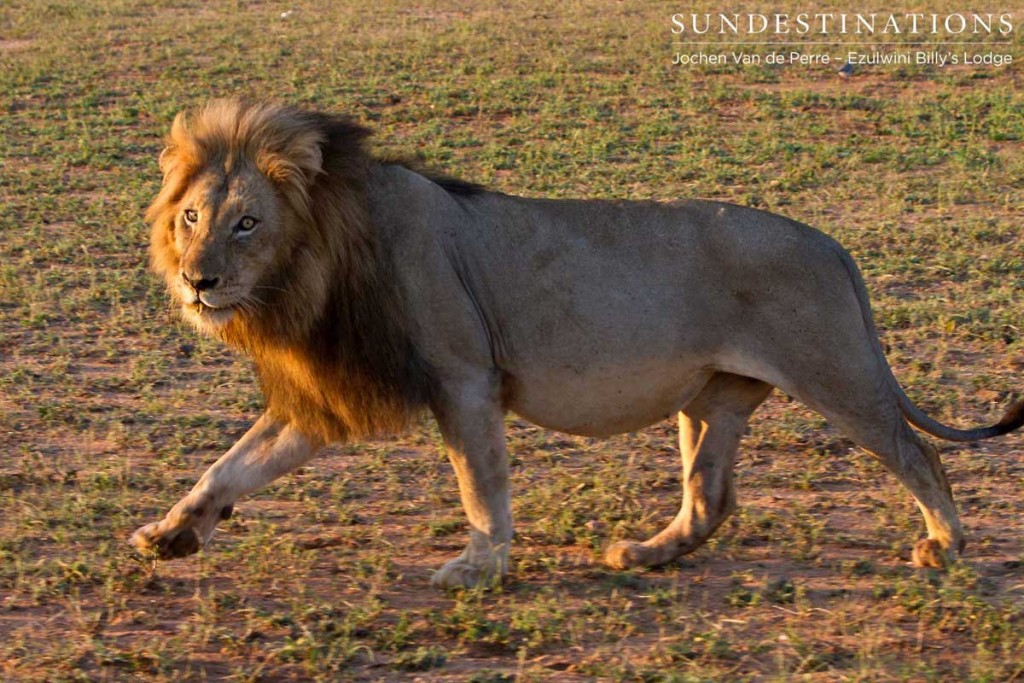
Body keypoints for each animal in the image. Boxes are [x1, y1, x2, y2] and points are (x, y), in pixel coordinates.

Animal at [132, 100, 1019, 589]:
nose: (198, 281)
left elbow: (480, 485)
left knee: (917, 453)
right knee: (710, 497)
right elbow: (235, 463)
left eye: (248, 222)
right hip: (712, 397)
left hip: (835, 371)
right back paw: (647, 553)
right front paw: (172, 533)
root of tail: (834, 246)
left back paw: (946, 544)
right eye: (192, 217)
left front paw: (479, 567)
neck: (319, 261)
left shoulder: (466, 377)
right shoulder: (326, 392)